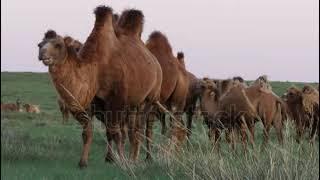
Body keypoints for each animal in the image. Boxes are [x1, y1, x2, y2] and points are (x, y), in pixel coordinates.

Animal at [37, 6, 166, 168]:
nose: (42, 54)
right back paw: (131, 157)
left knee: (140, 128)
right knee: (131, 129)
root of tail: (155, 62)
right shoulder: (93, 102)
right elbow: (89, 132)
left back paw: (137, 159)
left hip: (150, 98)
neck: (96, 68)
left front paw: (122, 161)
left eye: (58, 45)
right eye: (40, 44)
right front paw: (87, 162)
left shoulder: (117, 100)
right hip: (132, 104)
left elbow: (116, 132)